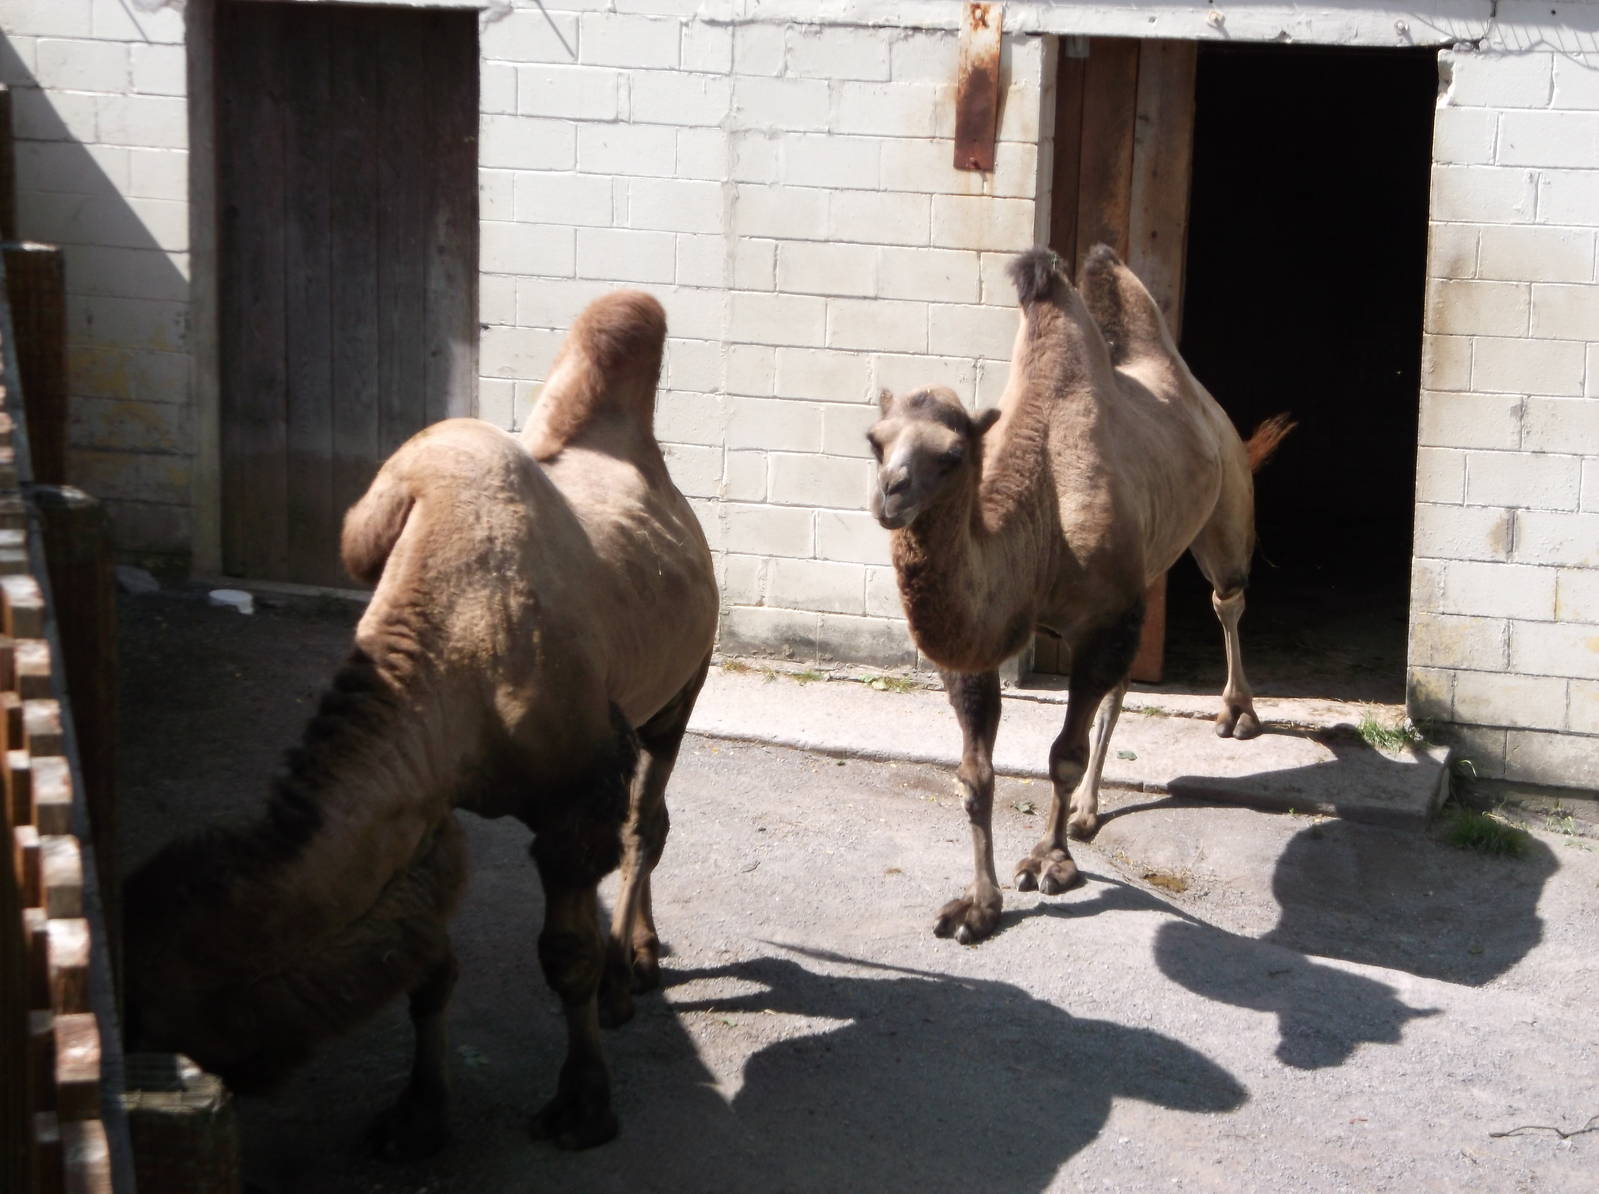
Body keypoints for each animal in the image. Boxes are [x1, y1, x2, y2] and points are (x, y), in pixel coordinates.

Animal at [123, 290, 719, 1158]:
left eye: (150, 1014)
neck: (457, 638)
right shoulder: (425, 791)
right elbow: (429, 965)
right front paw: (417, 1113)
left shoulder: (574, 793)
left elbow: (564, 954)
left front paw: (582, 1105)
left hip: (681, 686)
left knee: (648, 821)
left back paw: (625, 973)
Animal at [867, 245, 1292, 944]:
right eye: (874, 442)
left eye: (953, 454)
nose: (890, 495)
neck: (1036, 515)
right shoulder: (981, 642)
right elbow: (975, 776)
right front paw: (977, 907)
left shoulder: (1102, 619)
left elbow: (1062, 754)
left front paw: (1049, 862)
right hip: (1146, 567)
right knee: (1122, 686)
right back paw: (1090, 812)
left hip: (1225, 506)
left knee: (1226, 599)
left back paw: (1238, 713)